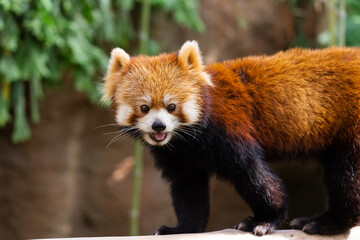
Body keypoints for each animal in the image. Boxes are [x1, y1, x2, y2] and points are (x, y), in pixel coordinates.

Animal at [102, 40, 360, 235]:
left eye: (171, 106)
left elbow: (253, 174)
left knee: (345, 176)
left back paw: (326, 222)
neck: (186, 141)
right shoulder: (179, 156)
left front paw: (266, 219)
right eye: (144, 108)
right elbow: (188, 188)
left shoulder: (228, 130)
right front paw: (182, 228)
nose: (159, 126)